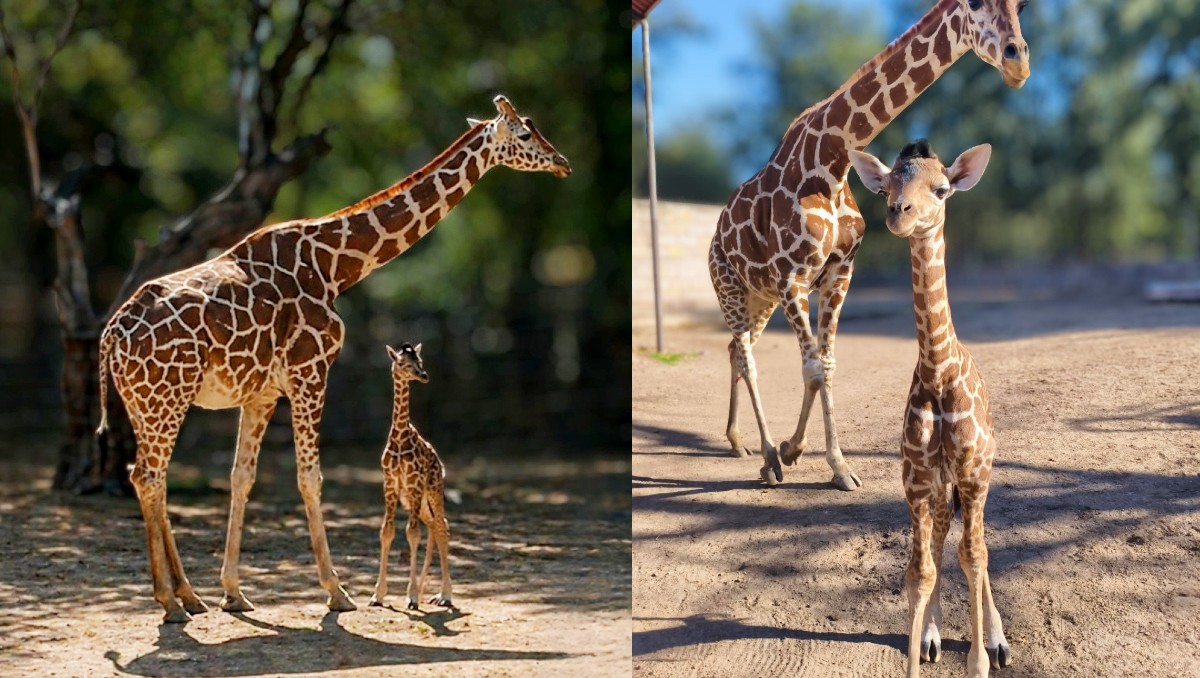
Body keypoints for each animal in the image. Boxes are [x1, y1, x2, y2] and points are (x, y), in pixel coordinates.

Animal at [367, 343, 452, 611]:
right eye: (403, 363)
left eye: (420, 361)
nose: (424, 376)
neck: (399, 437)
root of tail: (439, 462)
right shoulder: (391, 485)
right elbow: (387, 531)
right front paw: (378, 595)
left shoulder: (413, 484)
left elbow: (412, 534)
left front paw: (412, 596)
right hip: (419, 500)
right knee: (434, 526)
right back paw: (430, 592)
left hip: (432, 490)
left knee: (442, 526)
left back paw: (445, 594)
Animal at [709, 0, 1029, 488]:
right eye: (974, 5)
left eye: (1023, 6)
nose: (1018, 62)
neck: (830, 162)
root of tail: (716, 234)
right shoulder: (792, 276)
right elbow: (812, 366)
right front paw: (796, 455)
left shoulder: (839, 272)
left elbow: (826, 363)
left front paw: (819, 458)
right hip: (729, 286)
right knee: (746, 356)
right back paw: (764, 457)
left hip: (758, 299)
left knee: (735, 349)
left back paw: (737, 440)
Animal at [848, 139, 1008, 677]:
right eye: (886, 187)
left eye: (940, 189)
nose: (900, 213)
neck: (939, 370)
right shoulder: (916, 476)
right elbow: (920, 570)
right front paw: (923, 643)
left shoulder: (973, 471)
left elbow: (974, 556)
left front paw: (981, 658)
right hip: (940, 484)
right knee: (939, 539)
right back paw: (933, 635)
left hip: (975, 476)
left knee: (975, 545)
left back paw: (998, 640)